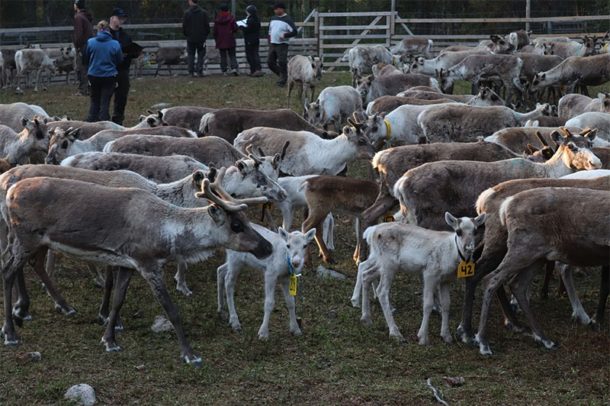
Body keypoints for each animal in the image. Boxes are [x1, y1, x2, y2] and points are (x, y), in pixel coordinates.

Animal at [354, 214, 482, 344]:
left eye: (475, 231)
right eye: (458, 231)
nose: (469, 247)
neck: (452, 253)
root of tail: (371, 232)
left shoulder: (446, 280)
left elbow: (446, 304)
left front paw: (446, 336)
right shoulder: (430, 273)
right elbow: (428, 304)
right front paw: (423, 337)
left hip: (381, 262)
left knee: (366, 274)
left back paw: (366, 318)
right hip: (388, 264)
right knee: (381, 291)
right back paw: (395, 332)